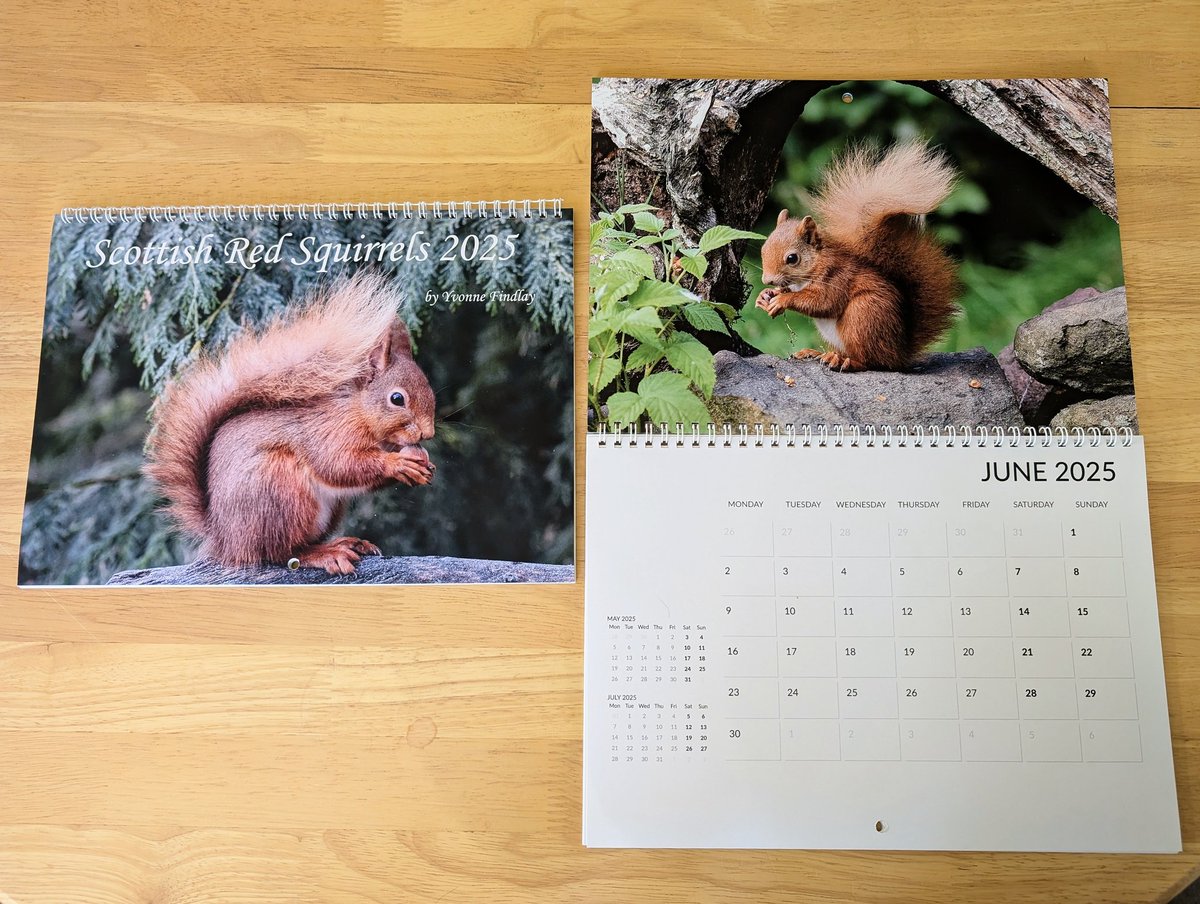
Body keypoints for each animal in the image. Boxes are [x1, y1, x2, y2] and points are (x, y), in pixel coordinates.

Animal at [144, 273, 436, 575]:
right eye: (397, 398)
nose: (428, 433)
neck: (357, 410)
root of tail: (225, 538)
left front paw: (422, 467)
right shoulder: (329, 432)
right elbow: (341, 464)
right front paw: (398, 463)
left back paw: (349, 543)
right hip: (280, 491)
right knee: (279, 552)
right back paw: (326, 554)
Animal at [754, 139, 961, 372]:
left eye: (792, 258)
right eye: (763, 249)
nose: (767, 280)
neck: (815, 263)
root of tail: (899, 353)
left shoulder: (836, 277)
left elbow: (822, 302)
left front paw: (782, 299)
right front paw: (765, 296)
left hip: (863, 315)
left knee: (872, 361)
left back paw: (844, 361)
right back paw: (817, 353)